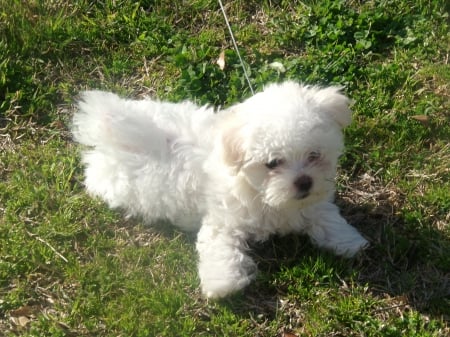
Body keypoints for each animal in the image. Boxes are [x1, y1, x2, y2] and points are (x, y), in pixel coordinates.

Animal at [72, 80, 368, 296]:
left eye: (314, 155)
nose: (304, 181)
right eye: (273, 163)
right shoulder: (224, 219)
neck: (264, 195)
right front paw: (223, 284)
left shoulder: (310, 202)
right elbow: (220, 247)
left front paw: (350, 242)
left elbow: (325, 218)